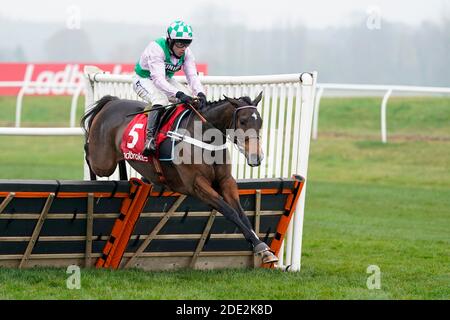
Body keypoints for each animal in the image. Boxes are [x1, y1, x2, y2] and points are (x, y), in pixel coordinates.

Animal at [81, 92, 278, 262]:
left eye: (260, 122)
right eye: (243, 121)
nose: (256, 157)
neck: (205, 138)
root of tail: (111, 102)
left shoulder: (226, 181)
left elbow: (241, 213)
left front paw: (263, 248)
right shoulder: (197, 185)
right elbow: (230, 211)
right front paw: (260, 246)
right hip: (103, 162)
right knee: (88, 153)